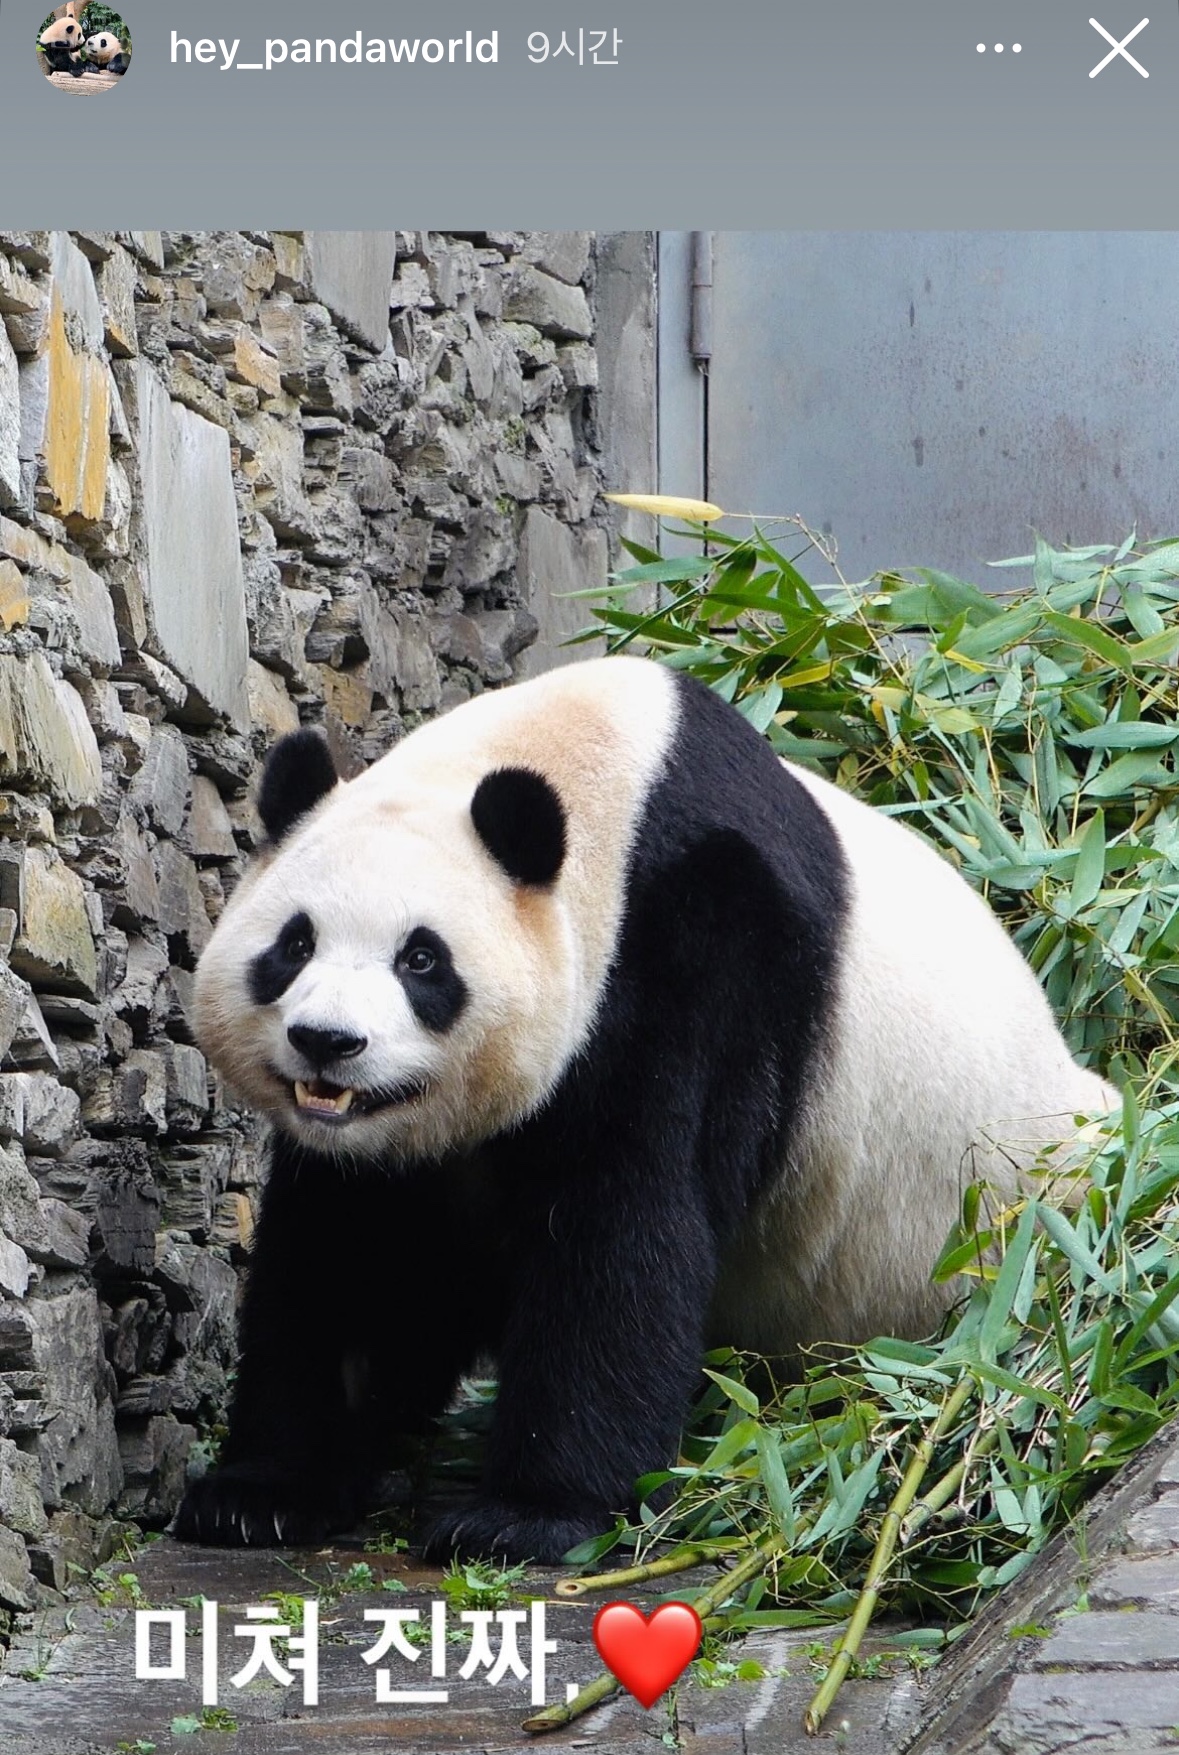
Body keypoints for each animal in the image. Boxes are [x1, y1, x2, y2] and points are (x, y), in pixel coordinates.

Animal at [170, 652, 1108, 1558]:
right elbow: (354, 1257)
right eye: (294, 944)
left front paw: (526, 1517)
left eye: (421, 960)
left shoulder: (701, 950)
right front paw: (261, 1494)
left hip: (1008, 1220)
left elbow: (625, 1224)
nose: (327, 1041)